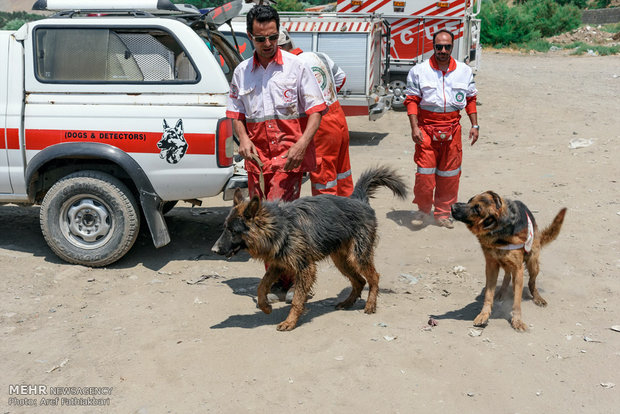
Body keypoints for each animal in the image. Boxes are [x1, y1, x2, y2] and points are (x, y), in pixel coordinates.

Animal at [211, 167, 410, 332]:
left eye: (233, 231)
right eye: (225, 227)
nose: (213, 250)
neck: (280, 227)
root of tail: (358, 199)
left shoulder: (305, 268)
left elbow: (297, 300)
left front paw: (290, 322)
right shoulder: (278, 265)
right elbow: (261, 286)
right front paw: (265, 306)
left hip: (357, 257)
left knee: (374, 277)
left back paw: (370, 304)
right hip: (341, 260)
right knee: (359, 281)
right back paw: (347, 302)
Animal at [450, 192, 568, 332]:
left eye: (477, 209)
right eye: (469, 201)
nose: (452, 206)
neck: (499, 230)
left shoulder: (518, 269)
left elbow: (517, 302)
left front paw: (517, 320)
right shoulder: (491, 266)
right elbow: (488, 295)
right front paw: (484, 314)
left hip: (533, 262)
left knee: (531, 282)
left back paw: (537, 297)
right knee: (507, 275)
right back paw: (501, 292)